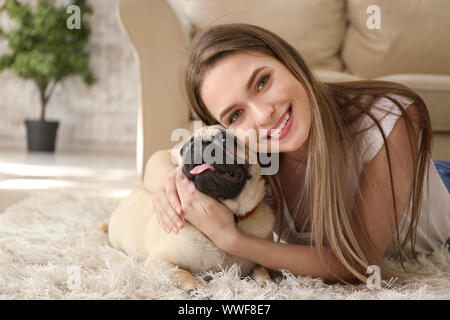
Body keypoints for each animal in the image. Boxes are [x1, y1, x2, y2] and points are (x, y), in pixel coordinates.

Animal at [107, 124, 276, 288]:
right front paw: (197, 289)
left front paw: (265, 281)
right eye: (184, 148)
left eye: (225, 139)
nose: (202, 144)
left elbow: (261, 267)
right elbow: (183, 274)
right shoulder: (159, 262)